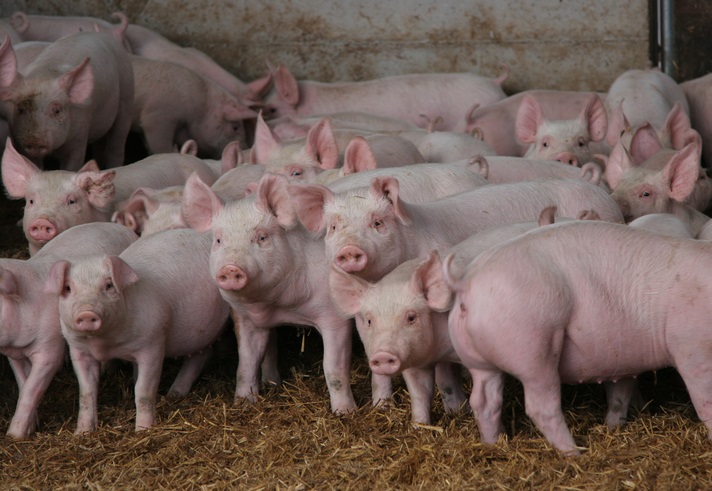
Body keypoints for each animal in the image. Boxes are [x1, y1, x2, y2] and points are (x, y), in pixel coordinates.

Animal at [0, 32, 134, 170]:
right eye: (21, 109)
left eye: (57, 111)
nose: (35, 141)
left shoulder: (80, 136)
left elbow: (72, 165)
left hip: (127, 96)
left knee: (116, 144)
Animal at [1, 222, 137, 438]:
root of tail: (120, 227)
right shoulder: (15, 355)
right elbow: (23, 384)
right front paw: (31, 427)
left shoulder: (49, 347)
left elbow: (31, 390)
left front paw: (13, 436)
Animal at [45, 228, 230, 433]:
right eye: (68, 288)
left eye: (108, 285)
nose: (86, 312)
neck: (105, 343)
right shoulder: (78, 350)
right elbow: (86, 393)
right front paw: (82, 433)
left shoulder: (153, 344)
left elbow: (143, 392)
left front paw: (143, 430)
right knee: (200, 355)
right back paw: (174, 393)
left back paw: (173, 394)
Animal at [182, 172, 359, 414]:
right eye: (218, 240)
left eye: (262, 237)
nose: (230, 268)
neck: (279, 305)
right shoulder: (246, 319)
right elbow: (245, 364)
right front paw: (243, 402)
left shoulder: (334, 315)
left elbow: (333, 368)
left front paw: (345, 412)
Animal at [439, 219, 712, 455]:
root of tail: (465, 282)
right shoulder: (693, 350)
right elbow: (704, 399)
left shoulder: (626, 358)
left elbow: (620, 393)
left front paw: (613, 426)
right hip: (535, 350)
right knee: (540, 407)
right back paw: (574, 453)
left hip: (479, 362)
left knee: (484, 401)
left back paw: (493, 444)